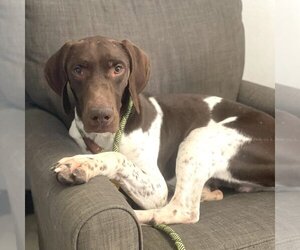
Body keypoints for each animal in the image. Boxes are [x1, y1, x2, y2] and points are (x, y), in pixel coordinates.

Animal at [45, 35, 274, 225]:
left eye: (118, 68)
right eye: (78, 70)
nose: (100, 116)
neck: (104, 138)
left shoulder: (156, 187)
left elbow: (117, 157)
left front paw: (81, 164)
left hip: (198, 137)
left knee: (182, 210)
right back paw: (207, 192)